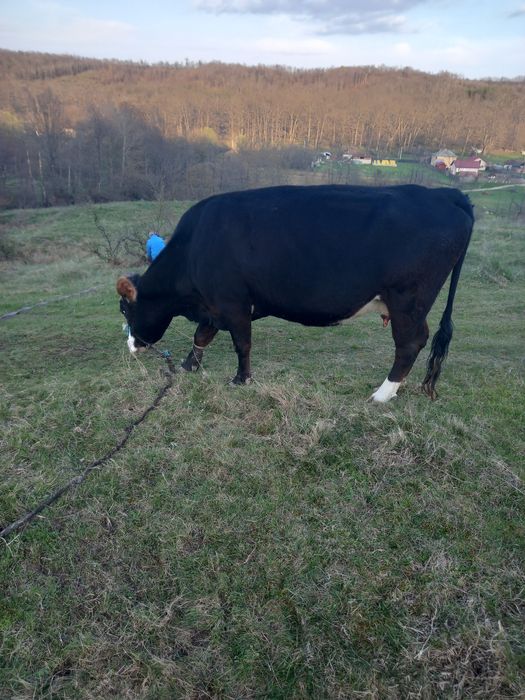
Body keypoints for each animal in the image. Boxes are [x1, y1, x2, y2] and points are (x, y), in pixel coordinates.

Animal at [117, 184, 473, 402]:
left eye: (125, 310)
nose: (131, 346)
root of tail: (445, 194)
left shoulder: (233, 303)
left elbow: (241, 343)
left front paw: (241, 379)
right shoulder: (215, 305)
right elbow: (201, 336)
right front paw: (189, 366)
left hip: (407, 299)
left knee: (410, 343)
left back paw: (382, 394)